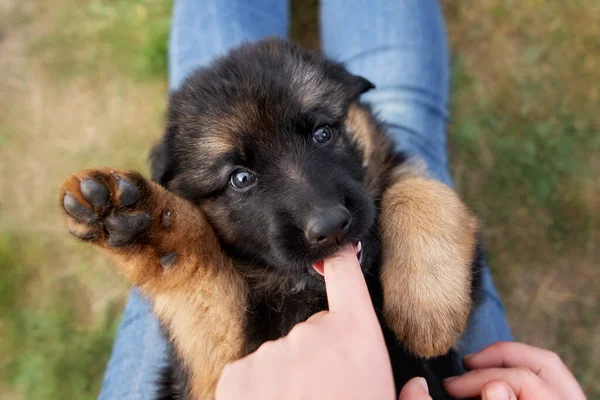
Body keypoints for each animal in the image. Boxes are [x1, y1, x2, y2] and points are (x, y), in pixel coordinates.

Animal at [59, 38, 478, 400]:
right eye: (240, 178)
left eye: (322, 133)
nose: (330, 226)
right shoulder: (215, 372)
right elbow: (204, 283)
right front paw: (143, 224)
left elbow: (417, 188)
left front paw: (426, 307)